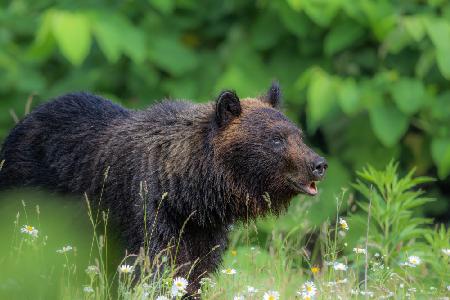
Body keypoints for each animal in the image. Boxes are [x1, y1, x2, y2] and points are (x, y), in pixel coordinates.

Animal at [0, 82, 326, 296]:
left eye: (298, 134)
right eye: (276, 140)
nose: (318, 164)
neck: (190, 192)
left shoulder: (201, 230)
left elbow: (196, 272)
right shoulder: (146, 208)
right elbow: (153, 267)